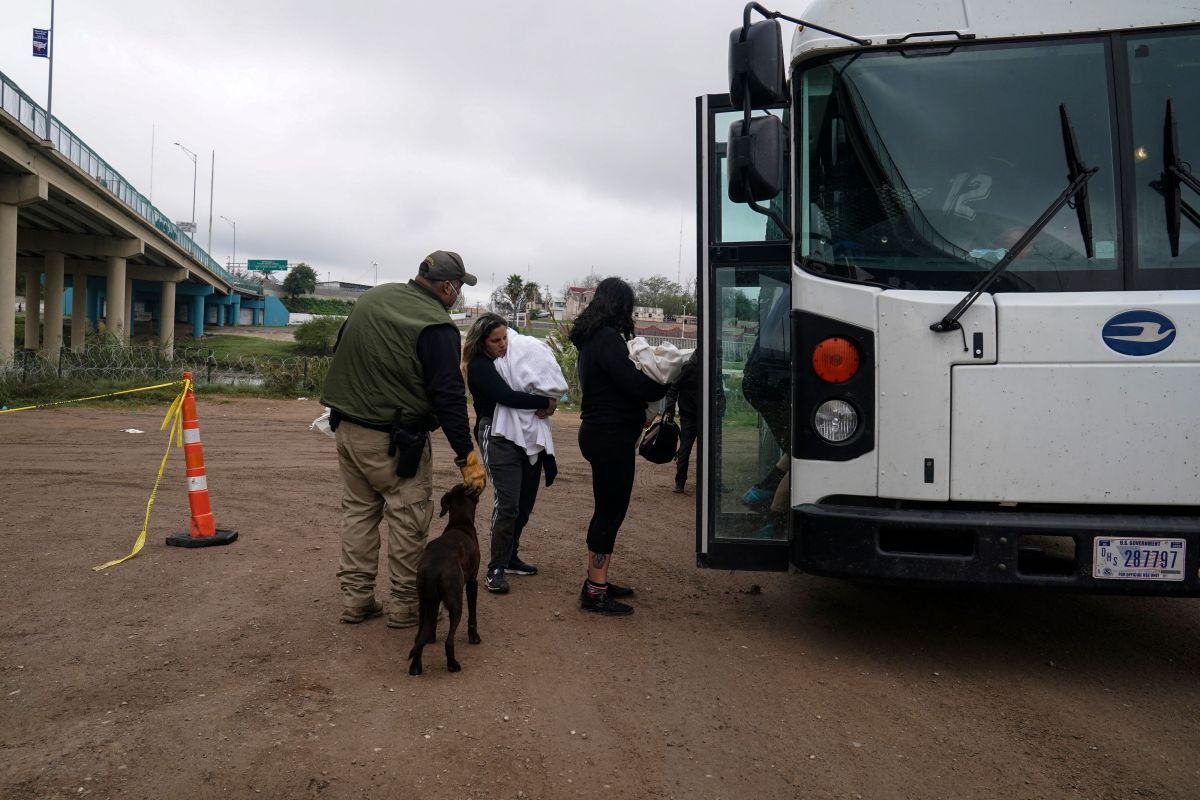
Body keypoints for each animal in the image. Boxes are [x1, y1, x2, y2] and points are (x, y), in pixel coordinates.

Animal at [410, 482, 480, 676]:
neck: (460, 523)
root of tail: (433, 569)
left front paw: (432, 635)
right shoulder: (473, 582)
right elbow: (473, 615)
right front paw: (474, 636)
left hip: (423, 602)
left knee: (418, 638)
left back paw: (415, 667)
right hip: (456, 604)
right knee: (449, 641)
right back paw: (453, 664)